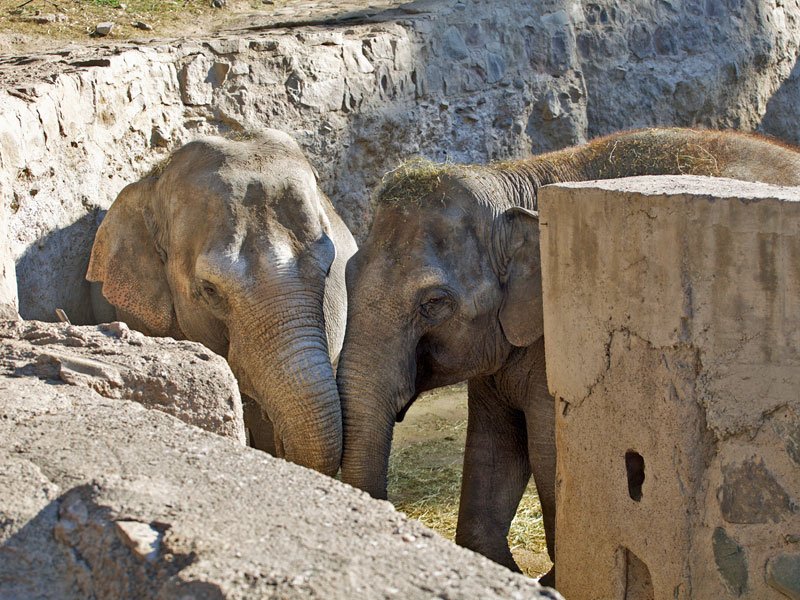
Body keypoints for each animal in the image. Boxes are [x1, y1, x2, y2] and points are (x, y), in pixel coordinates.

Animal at [336, 124, 800, 584]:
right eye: (348, 275)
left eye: (433, 303)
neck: (514, 180)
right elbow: (494, 442)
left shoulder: (556, 341)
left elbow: (547, 450)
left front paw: (555, 579)